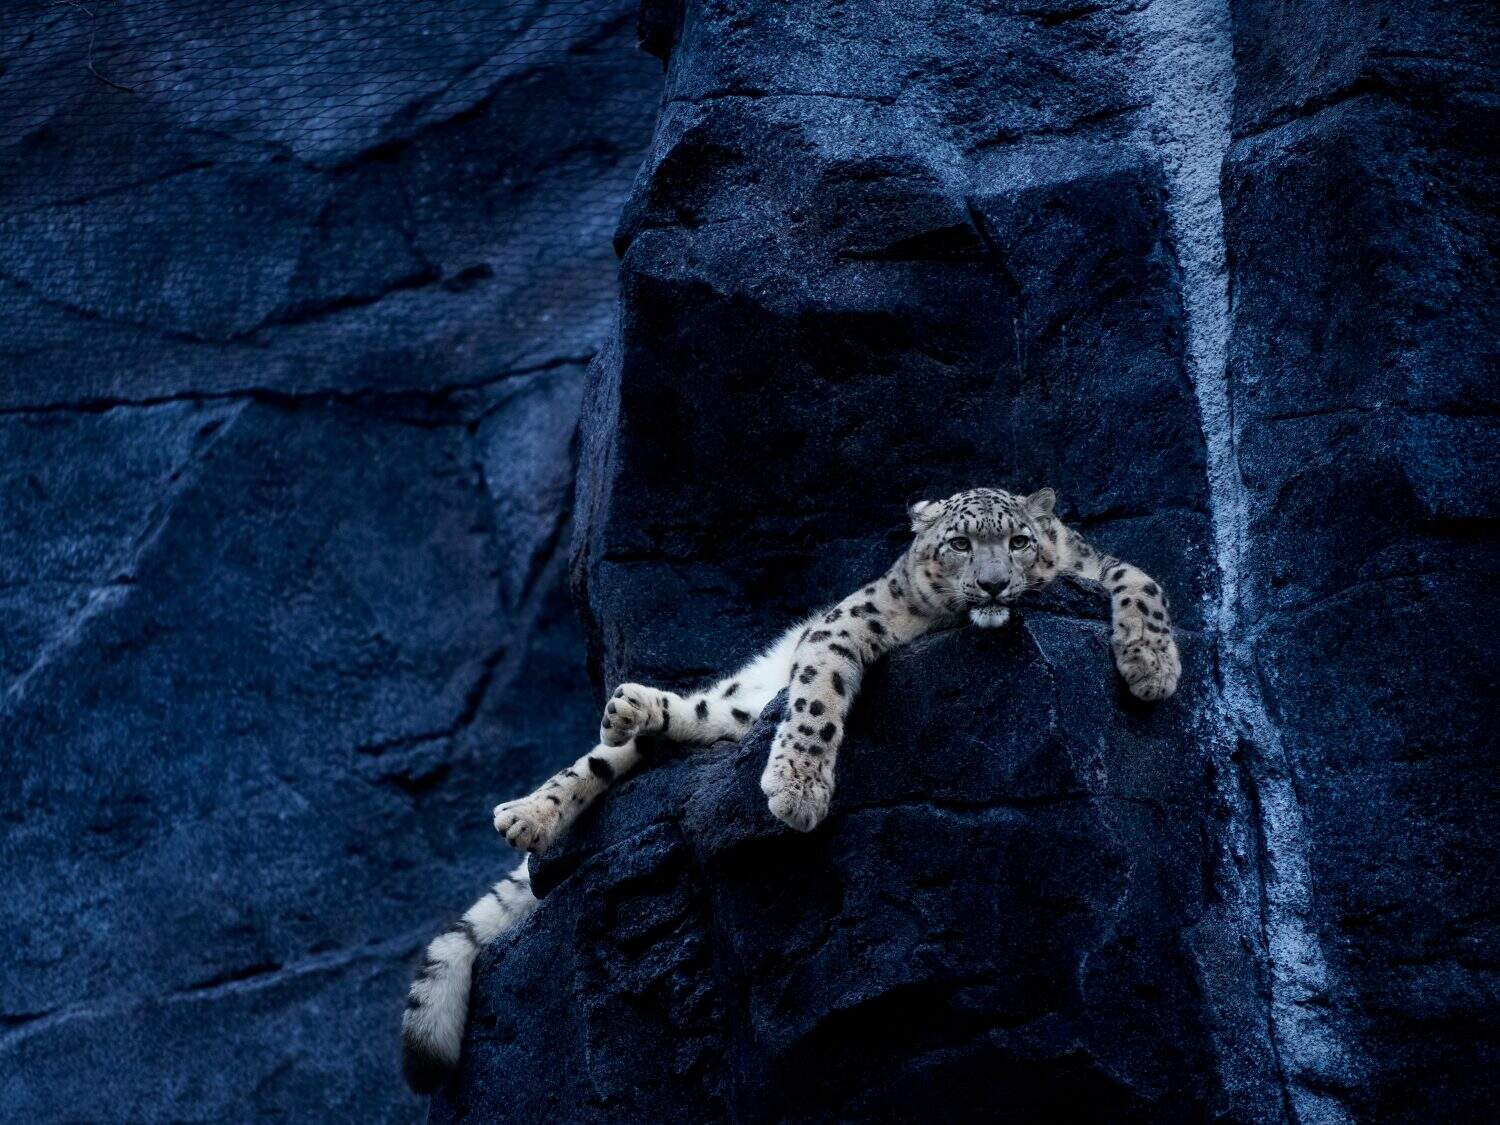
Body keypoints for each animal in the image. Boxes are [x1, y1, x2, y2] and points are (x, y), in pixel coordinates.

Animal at [401, 486, 1180, 1092]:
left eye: (1019, 541)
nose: (992, 586)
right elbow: (819, 696)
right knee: (608, 757)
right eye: (959, 544)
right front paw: (797, 788)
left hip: (733, 713)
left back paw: (633, 711)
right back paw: (537, 802)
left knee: (687, 723)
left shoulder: (1095, 562)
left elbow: (1138, 577)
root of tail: (751, 684)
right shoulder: (847, 623)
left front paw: (1150, 665)